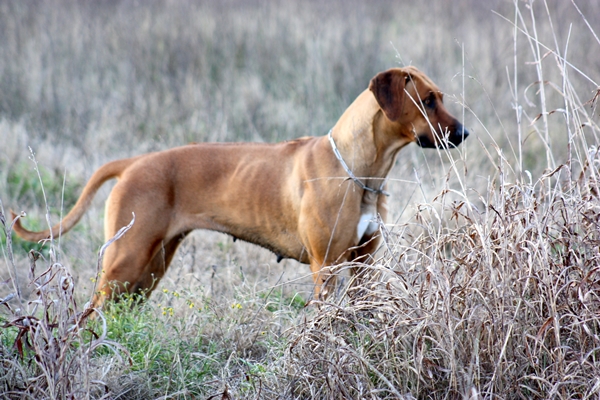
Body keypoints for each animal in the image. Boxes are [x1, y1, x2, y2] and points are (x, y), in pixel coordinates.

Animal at [10, 67, 468, 308]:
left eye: (440, 97)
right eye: (428, 100)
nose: (463, 133)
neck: (361, 172)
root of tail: (133, 163)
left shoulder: (363, 265)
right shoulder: (326, 266)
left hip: (150, 267)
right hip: (125, 262)